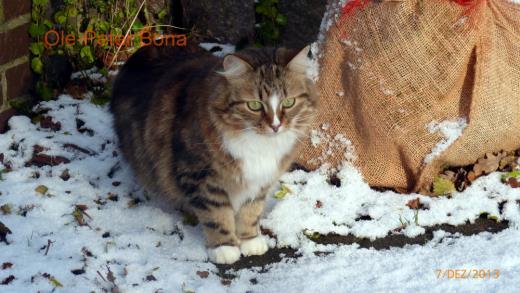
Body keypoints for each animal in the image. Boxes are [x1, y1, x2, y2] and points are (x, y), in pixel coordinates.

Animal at [110, 44, 316, 264]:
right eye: (254, 105)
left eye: (288, 102)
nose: (276, 126)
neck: (259, 144)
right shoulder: (201, 176)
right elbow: (217, 214)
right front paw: (225, 248)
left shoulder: (260, 181)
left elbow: (251, 211)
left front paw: (250, 240)